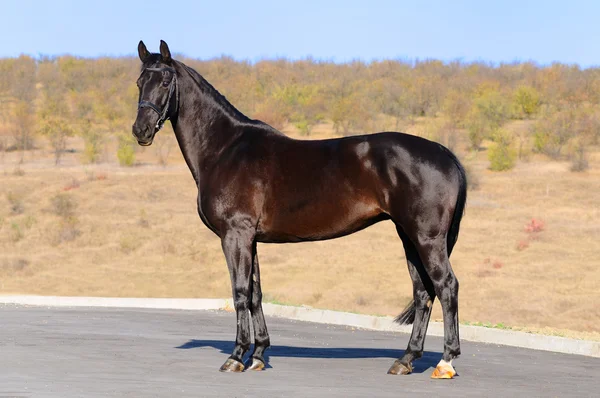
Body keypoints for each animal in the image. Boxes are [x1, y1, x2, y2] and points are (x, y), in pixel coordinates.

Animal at [132, 41, 468, 380]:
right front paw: (258, 355)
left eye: (165, 81)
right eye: (139, 82)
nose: (141, 130)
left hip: (427, 238)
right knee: (423, 292)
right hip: (408, 237)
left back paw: (445, 361)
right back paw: (405, 360)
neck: (225, 149)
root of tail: (444, 153)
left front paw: (236, 356)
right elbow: (255, 294)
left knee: (446, 286)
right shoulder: (251, 239)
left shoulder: (235, 235)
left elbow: (240, 292)